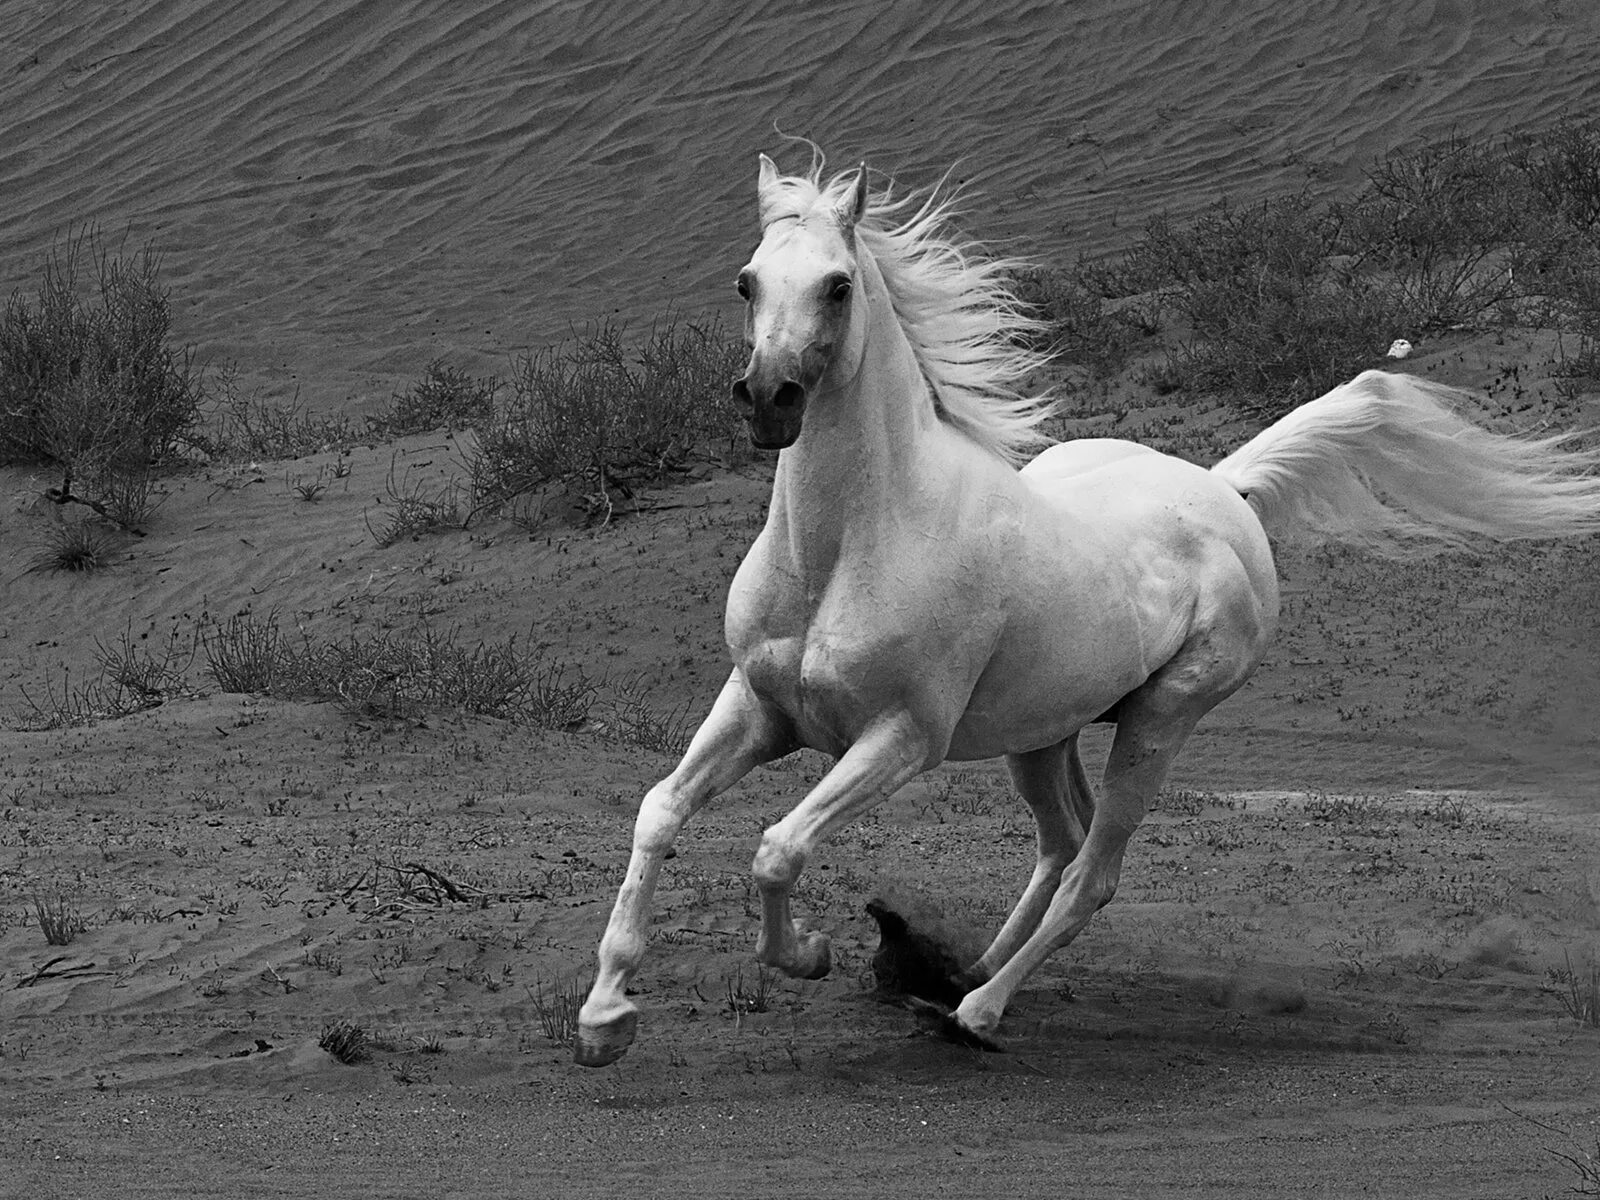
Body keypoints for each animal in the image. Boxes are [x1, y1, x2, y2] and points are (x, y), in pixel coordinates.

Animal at [576, 152, 1600, 1068]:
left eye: (836, 285)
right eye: (747, 281)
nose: (768, 399)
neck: (851, 545)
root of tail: (1224, 487)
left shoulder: (902, 738)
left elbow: (777, 849)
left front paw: (807, 956)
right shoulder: (758, 706)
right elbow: (658, 813)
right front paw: (604, 1018)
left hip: (1159, 721)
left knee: (1093, 873)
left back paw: (976, 1011)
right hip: (1046, 731)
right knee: (1060, 846)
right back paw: (949, 975)